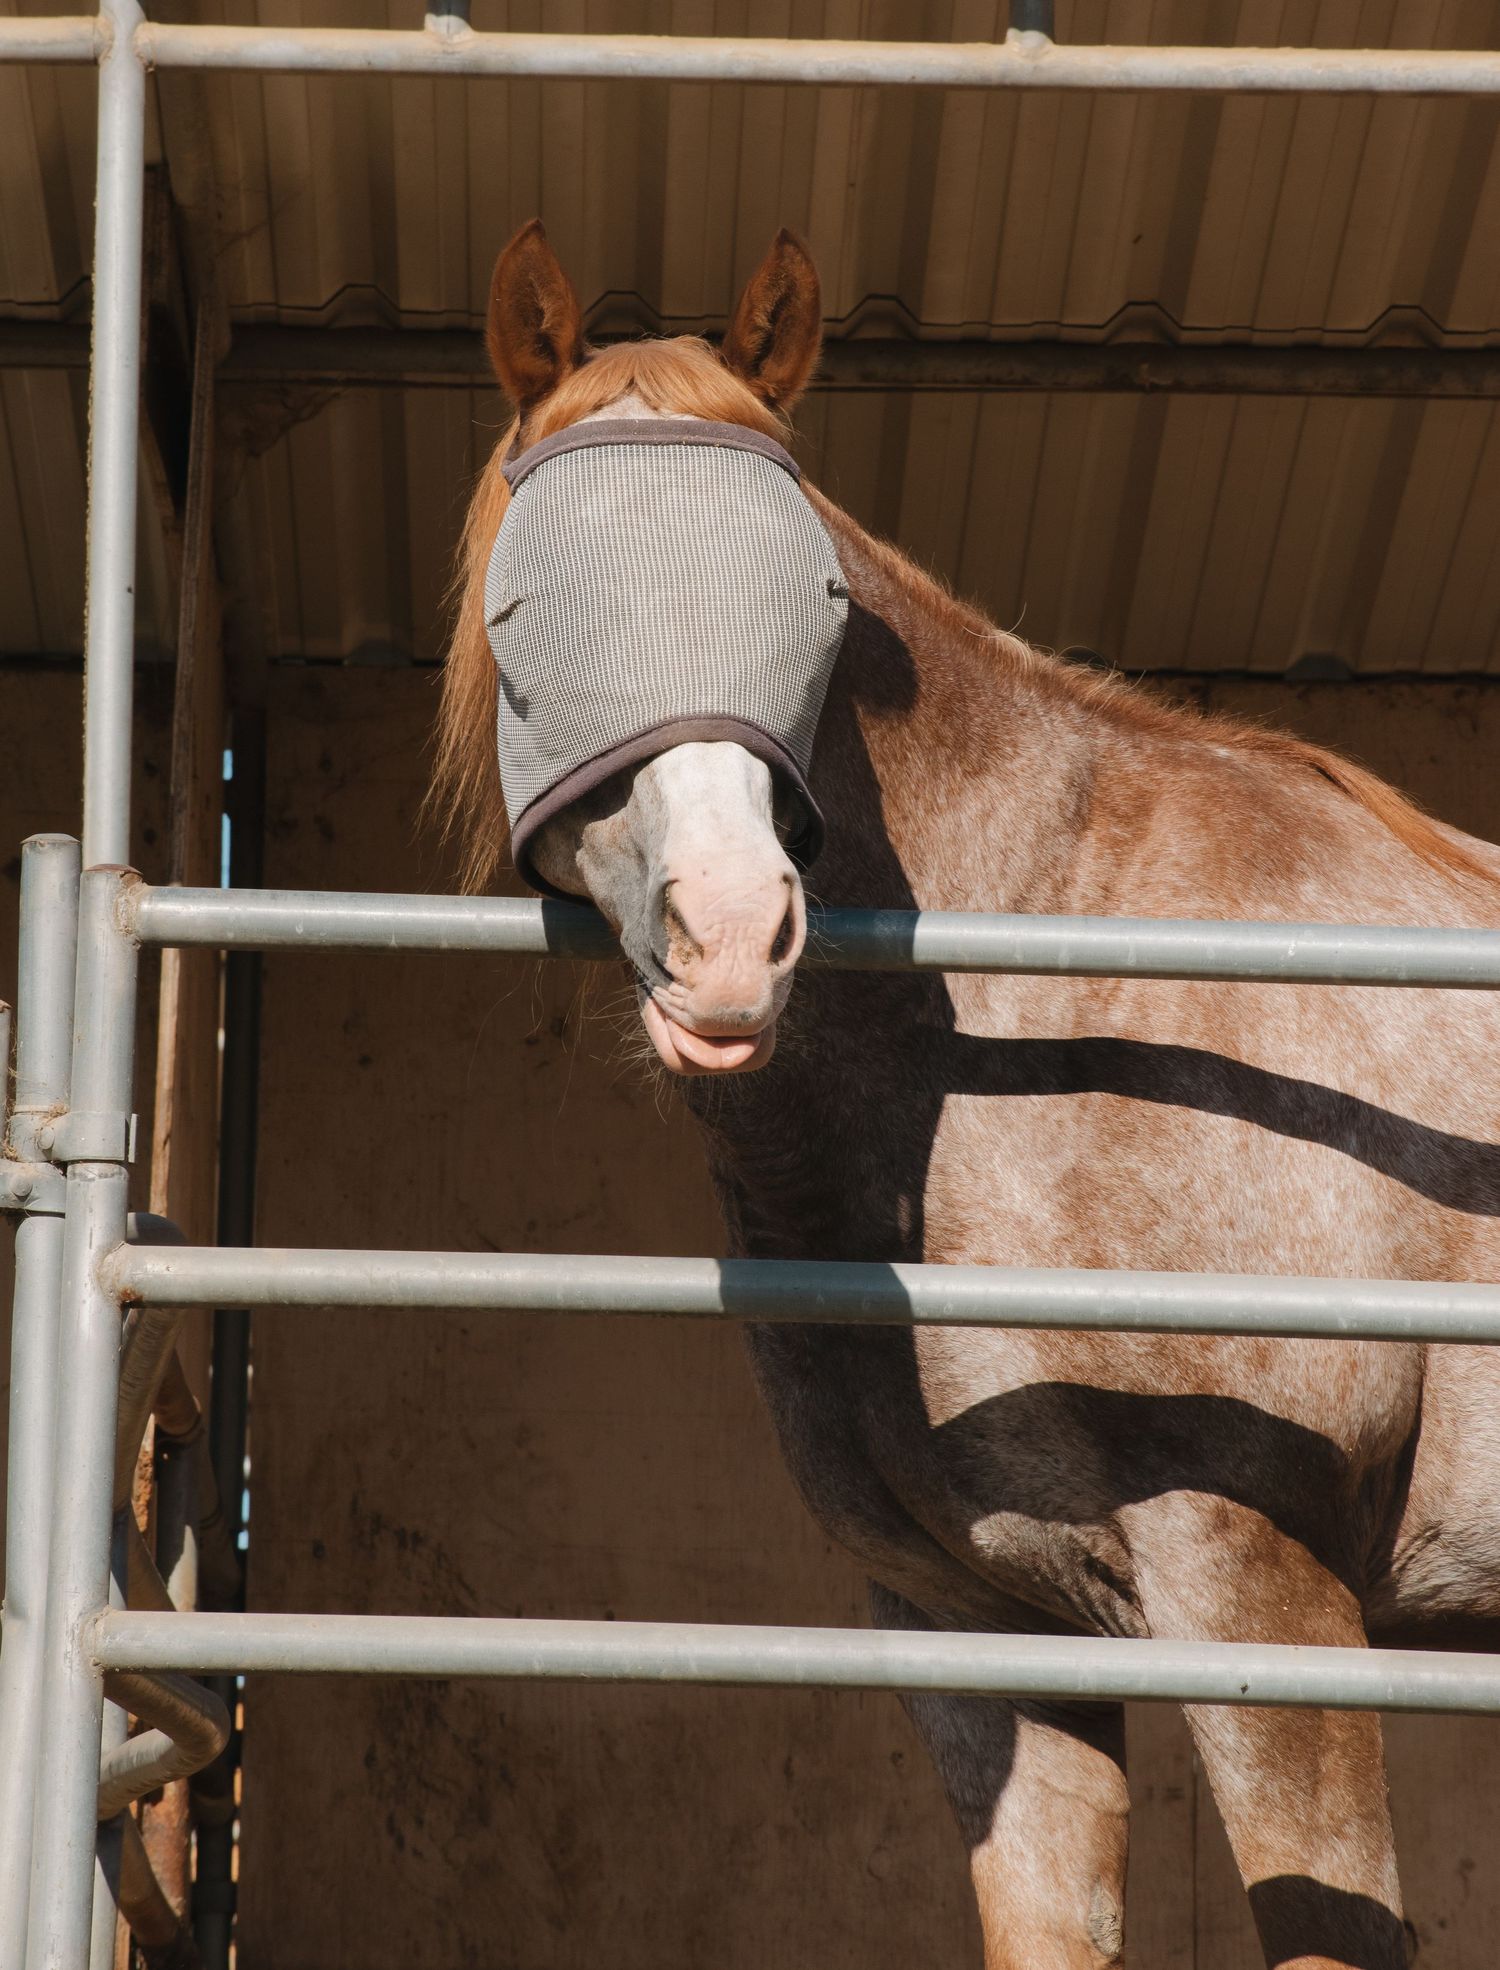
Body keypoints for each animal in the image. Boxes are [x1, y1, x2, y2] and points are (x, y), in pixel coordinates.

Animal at [428, 218, 1500, 1970]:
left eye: (812, 609)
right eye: (523, 613)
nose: (734, 930)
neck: (1053, 1015)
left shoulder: (1267, 1596)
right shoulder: (976, 1624)